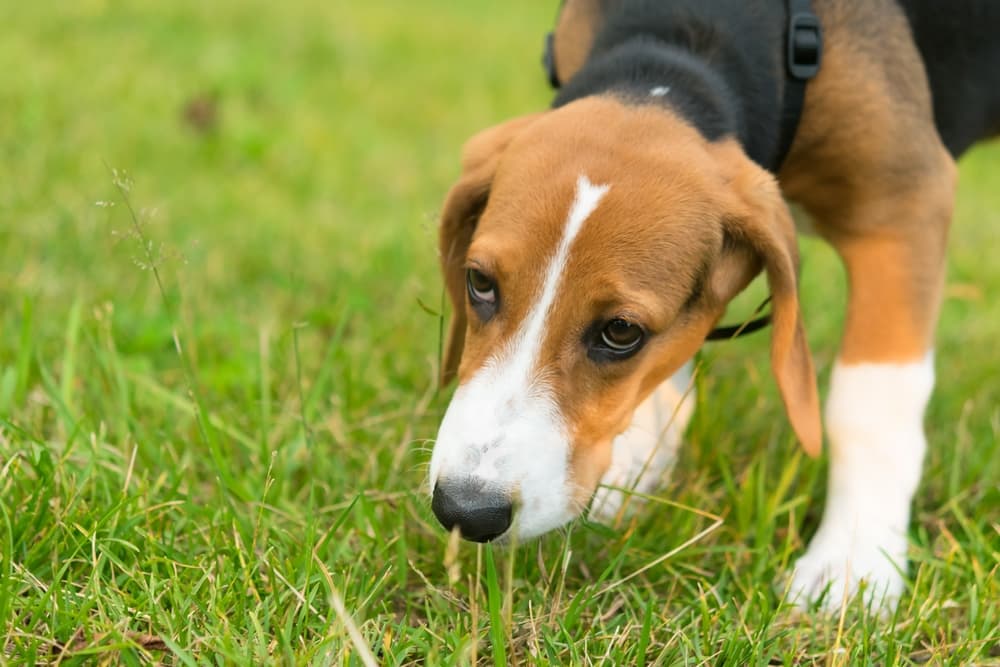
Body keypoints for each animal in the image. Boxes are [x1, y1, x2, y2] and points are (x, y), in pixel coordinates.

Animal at [424, 0, 1000, 612]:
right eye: (479, 283)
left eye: (621, 331)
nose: (465, 510)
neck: (680, 41)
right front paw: (633, 473)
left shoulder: (902, 209)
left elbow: (869, 404)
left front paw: (853, 561)